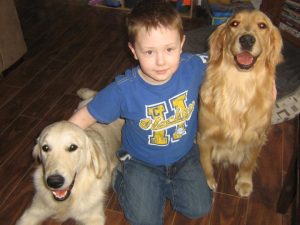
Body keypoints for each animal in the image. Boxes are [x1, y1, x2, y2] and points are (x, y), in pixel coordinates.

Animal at [16, 88, 124, 225]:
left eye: (73, 147)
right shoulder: (34, 210)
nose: (54, 182)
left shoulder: (94, 217)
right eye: (45, 148)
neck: (68, 200)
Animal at [197, 10, 284, 197]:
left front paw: (244, 183)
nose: (247, 40)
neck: (239, 87)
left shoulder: (256, 138)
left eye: (262, 25)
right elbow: (205, 162)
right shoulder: (204, 136)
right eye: (234, 24)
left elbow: (248, 163)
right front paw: (209, 180)